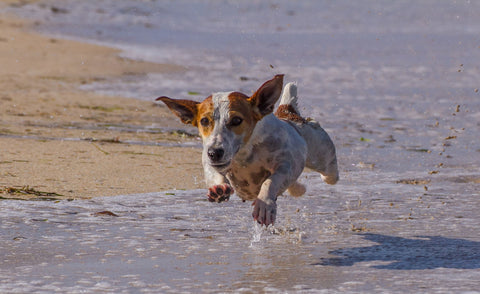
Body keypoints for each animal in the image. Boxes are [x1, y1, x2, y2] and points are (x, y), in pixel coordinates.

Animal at [157, 74, 338, 226]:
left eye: (236, 120)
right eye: (204, 121)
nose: (215, 153)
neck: (244, 153)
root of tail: (288, 114)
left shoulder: (286, 165)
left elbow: (270, 182)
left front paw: (265, 205)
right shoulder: (208, 160)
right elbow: (214, 173)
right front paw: (219, 187)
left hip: (322, 156)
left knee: (330, 175)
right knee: (295, 188)